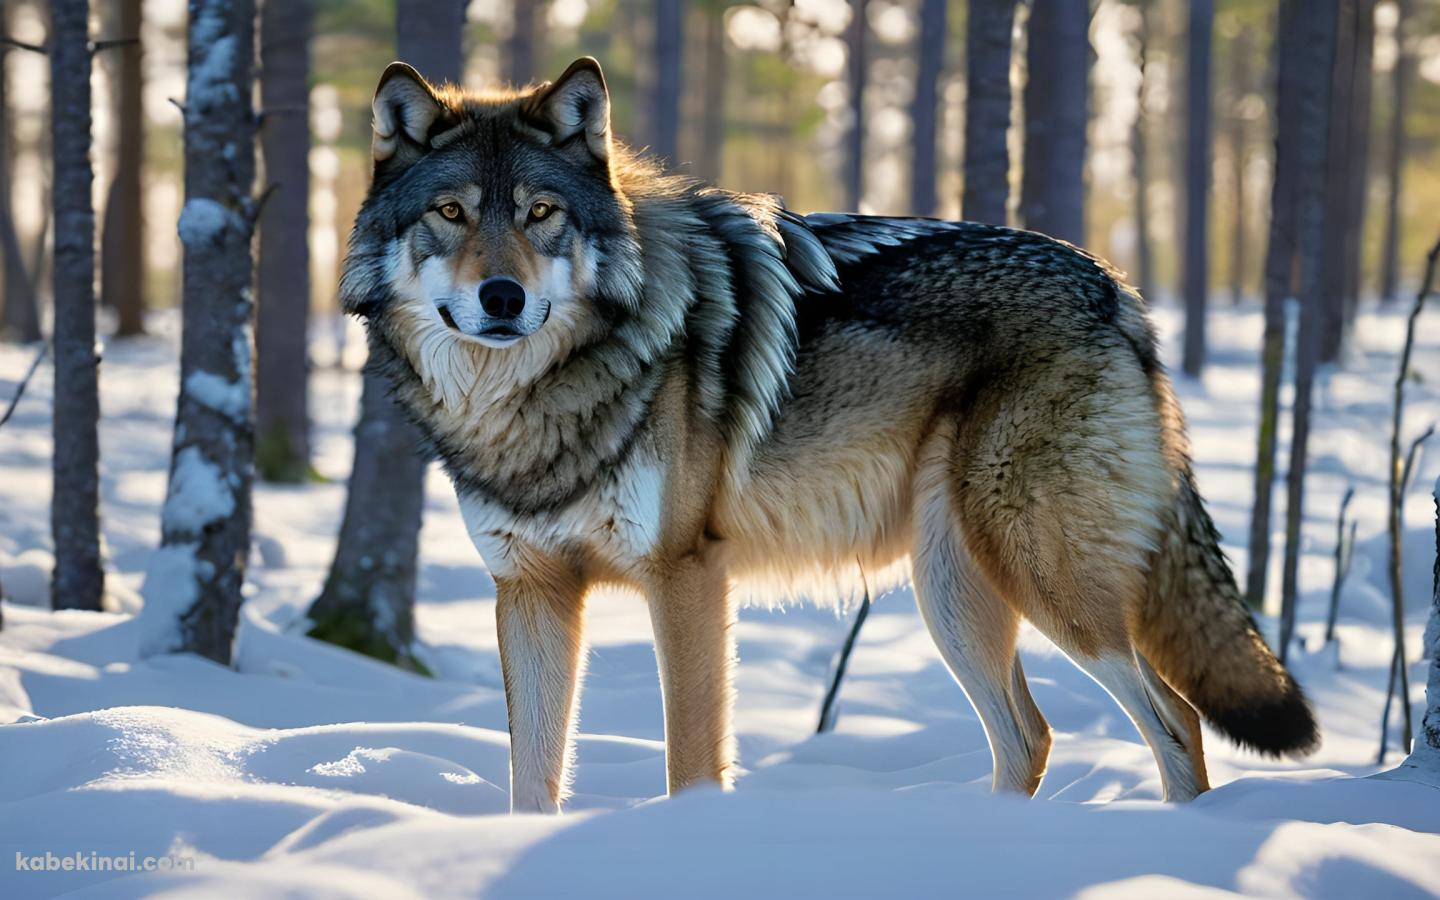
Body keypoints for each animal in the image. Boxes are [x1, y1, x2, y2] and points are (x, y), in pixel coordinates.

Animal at [336, 59, 1319, 812]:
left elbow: (690, 763)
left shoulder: (686, 575)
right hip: (953, 593)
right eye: (453, 214)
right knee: (1030, 737)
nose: (501, 299)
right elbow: (530, 781)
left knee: (1174, 720)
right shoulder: (530, 592)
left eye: (541, 213)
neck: (533, 403)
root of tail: (1118, 291)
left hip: (1042, 582)